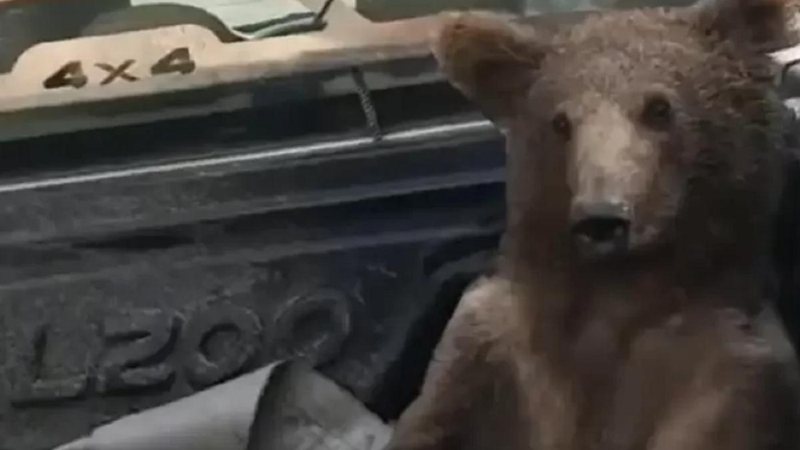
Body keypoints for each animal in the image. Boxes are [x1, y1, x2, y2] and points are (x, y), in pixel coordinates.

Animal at [385, 0, 800, 449]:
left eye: (659, 108)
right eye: (560, 122)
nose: (602, 218)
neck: (616, 298)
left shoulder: (729, 376)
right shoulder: (491, 353)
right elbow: (434, 417)